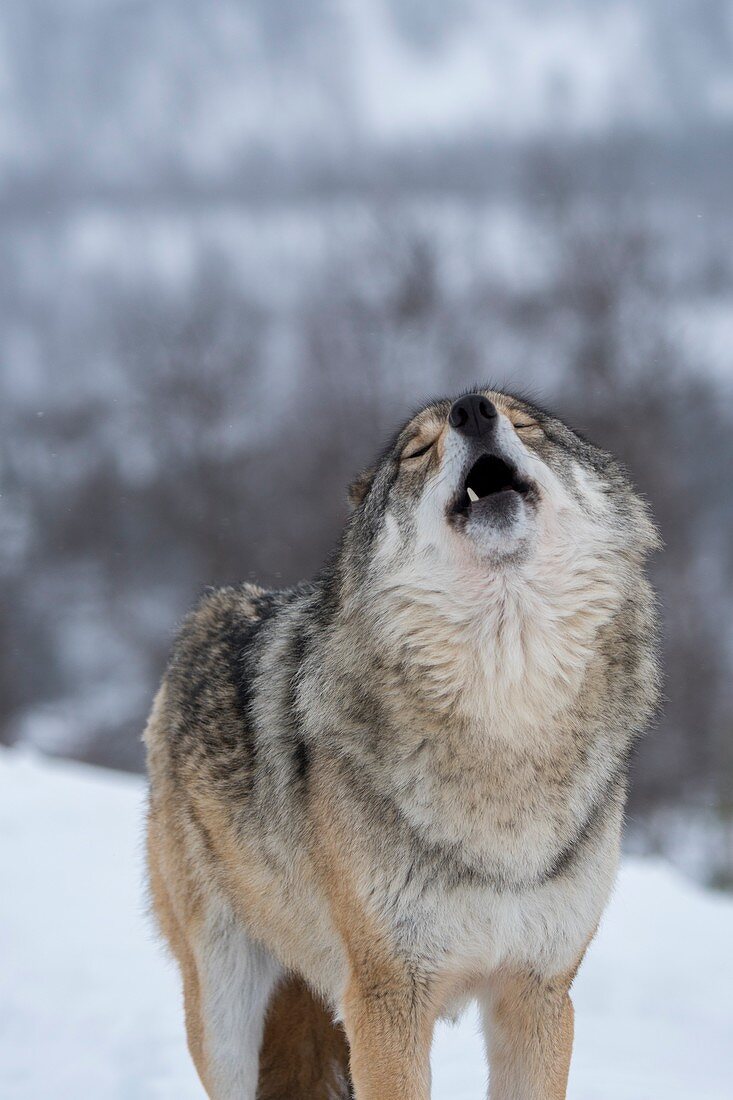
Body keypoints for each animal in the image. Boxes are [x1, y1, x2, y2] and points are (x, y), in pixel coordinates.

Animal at [143, 389, 655, 1100]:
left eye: (523, 422)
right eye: (417, 451)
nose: (473, 408)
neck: (506, 718)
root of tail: (207, 615)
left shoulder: (540, 993)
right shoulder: (387, 998)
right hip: (224, 1006)